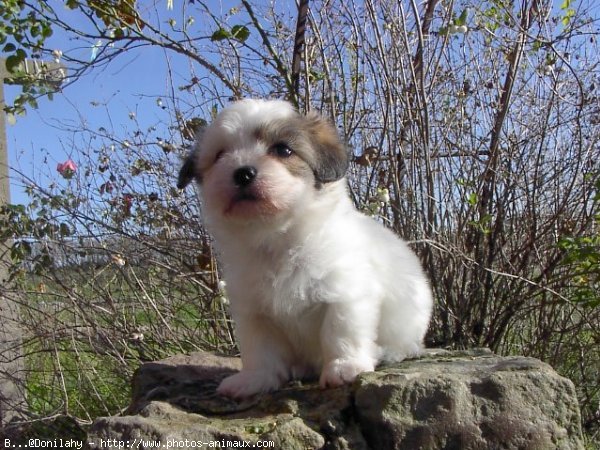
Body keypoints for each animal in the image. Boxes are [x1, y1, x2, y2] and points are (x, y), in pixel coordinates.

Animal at [176, 98, 434, 398]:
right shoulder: (255, 313)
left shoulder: (346, 294)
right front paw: (254, 379)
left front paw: (344, 367)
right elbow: (260, 349)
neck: (277, 238)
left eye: (283, 150)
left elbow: (339, 333)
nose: (243, 172)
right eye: (220, 155)